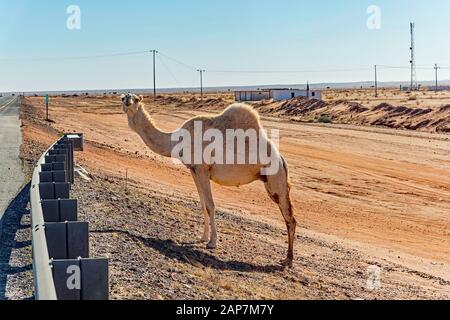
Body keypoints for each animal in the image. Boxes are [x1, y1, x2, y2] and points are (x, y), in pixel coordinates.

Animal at [119, 93, 298, 268]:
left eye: (136, 99)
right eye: (123, 97)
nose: (127, 100)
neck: (177, 141)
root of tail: (282, 159)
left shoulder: (203, 169)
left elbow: (210, 205)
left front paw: (212, 242)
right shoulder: (194, 170)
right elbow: (203, 203)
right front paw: (203, 237)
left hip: (276, 180)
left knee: (290, 218)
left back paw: (288, 260)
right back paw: (287, 259)